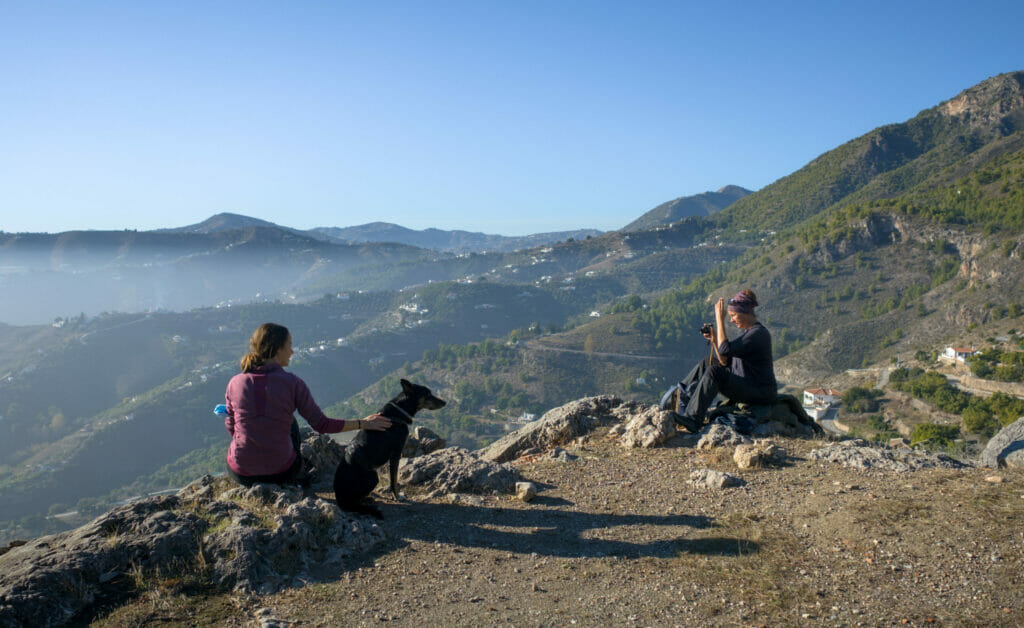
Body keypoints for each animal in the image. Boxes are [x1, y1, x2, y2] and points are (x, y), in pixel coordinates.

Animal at [333, 379, 446, 516]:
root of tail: (339, 500)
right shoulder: (396, 453)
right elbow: (394, 480)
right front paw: (397, 497)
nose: (444, 402)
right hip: (373, 476)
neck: (398, 413)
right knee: (355, 501)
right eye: (427, 394)